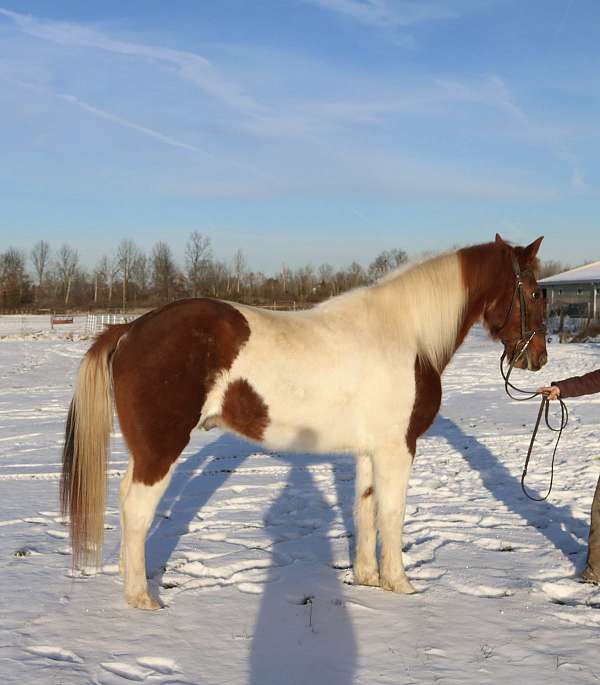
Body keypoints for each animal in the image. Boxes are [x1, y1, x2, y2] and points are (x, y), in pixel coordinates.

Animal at [61, 232, 548, 608]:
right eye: (532, 290)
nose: (538, 358)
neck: (405, 334)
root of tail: (128, 329)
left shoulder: (370, 451)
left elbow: (365, 508)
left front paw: (368, 579)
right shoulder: (397, 448)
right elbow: (392, 512)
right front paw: (400, 584)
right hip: (160, 449)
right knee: (136, 508)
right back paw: (141, 598)